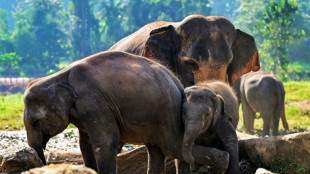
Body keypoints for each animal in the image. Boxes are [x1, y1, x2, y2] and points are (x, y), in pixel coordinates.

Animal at [23, 51, 237, 174]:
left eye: (35, 122)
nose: (43, 162)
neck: (57, 77)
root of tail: (177, 83)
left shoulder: (92, 100)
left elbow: (106, 142)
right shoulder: (84, 109)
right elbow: (86, 144)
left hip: (167, 115)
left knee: (172, 147)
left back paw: (223, 164)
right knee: (158, 150)